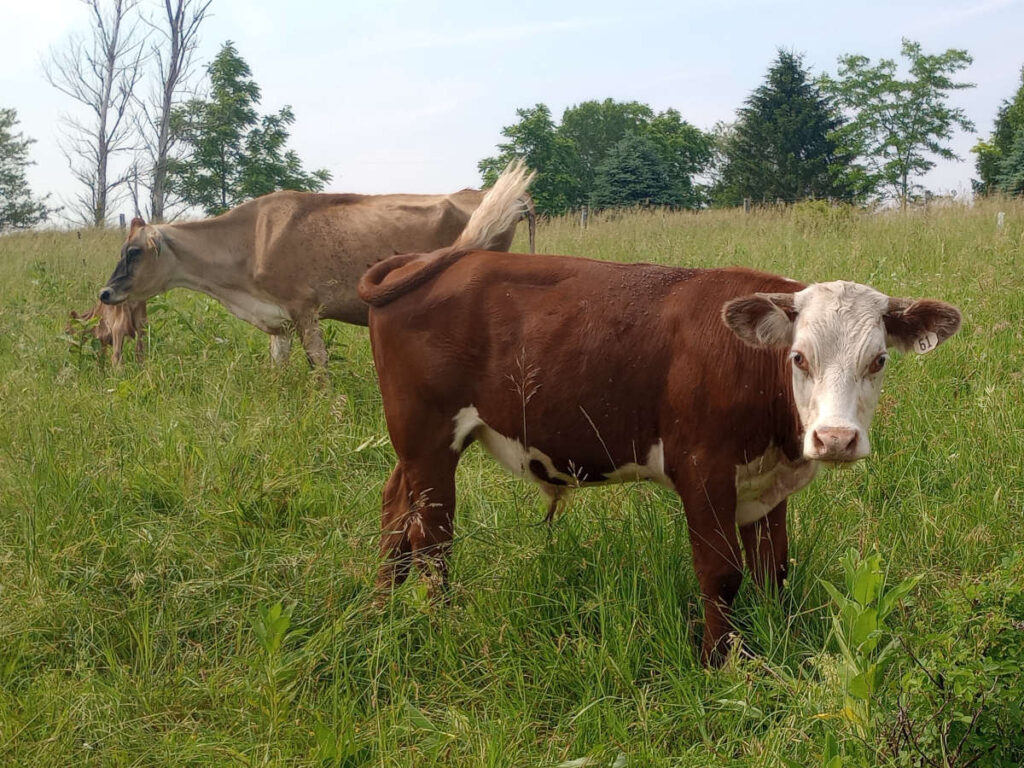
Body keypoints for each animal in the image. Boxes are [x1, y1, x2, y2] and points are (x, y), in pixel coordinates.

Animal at [97, 170, 535, 366]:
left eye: (133, 251)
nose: (105, 292)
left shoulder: (305, 309)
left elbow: (319, 365)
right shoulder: (279, 320)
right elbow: (277, 365)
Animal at [358, 193, 962, 665]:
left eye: (878, 360)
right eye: (799, 358)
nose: (834, 439)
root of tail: (431, 259)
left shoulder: (765, 485)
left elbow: (773, 568)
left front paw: (776, 642)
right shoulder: (702, 469)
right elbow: (721, 573)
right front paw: (722, 663)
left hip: (414, 447)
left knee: (395, 516)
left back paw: (381, 612)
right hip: (428, 436)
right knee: (431, 539)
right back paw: (440, 626)